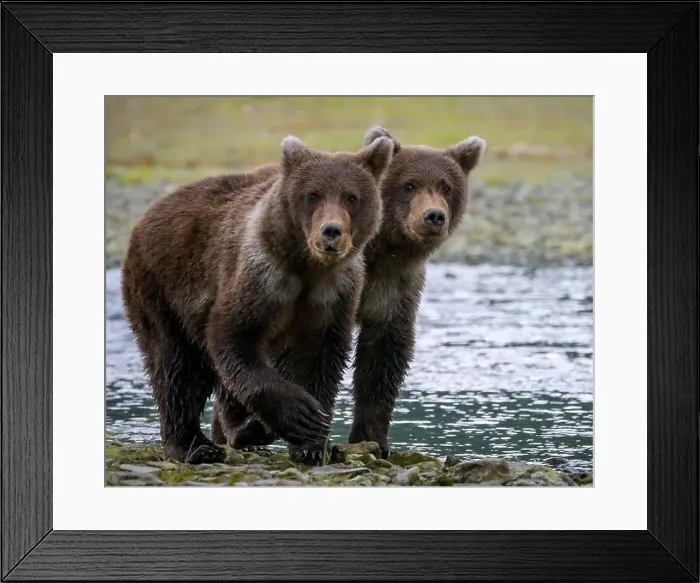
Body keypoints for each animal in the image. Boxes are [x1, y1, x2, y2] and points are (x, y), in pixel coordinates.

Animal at [121, 134, 392, 464]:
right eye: (312, 195)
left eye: (351, 198)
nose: (331, 231)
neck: (307, 265)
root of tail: (148, 213)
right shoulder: (261, 276)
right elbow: (233, 337)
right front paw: (301, 416)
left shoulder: (335, 292)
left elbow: (321, 357)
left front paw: (314, 444)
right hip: (163, 287)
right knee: (176, 365)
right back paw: (195, 445)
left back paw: (243, 434)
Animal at [347, 126, 487, 457]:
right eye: (409, 185)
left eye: (446, 187)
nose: (433, 216)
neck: (383, 251)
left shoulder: (396, 285)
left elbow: (383, 358)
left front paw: (373, 440)